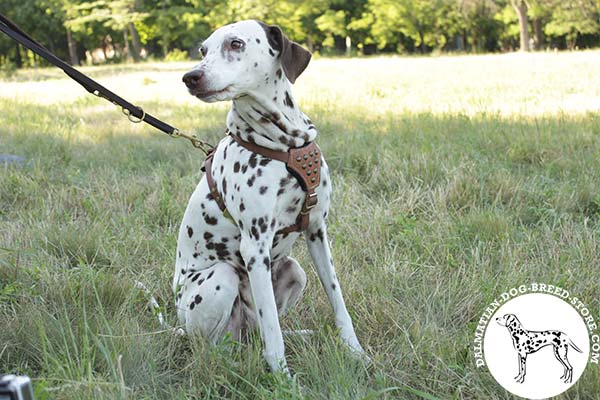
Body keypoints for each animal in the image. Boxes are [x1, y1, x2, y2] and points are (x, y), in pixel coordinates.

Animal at [175, 21, 366, 372]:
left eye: (236, 43)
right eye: (203, 50)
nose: (190, 77)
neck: (285, 146)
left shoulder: (317, 232)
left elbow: (337, 300)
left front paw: (354, 350)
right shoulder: (255, 246)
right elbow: (272, 334)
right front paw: (283, 376)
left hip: (294, 270)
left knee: (257, 329)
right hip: (220, 278)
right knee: (220, 346)